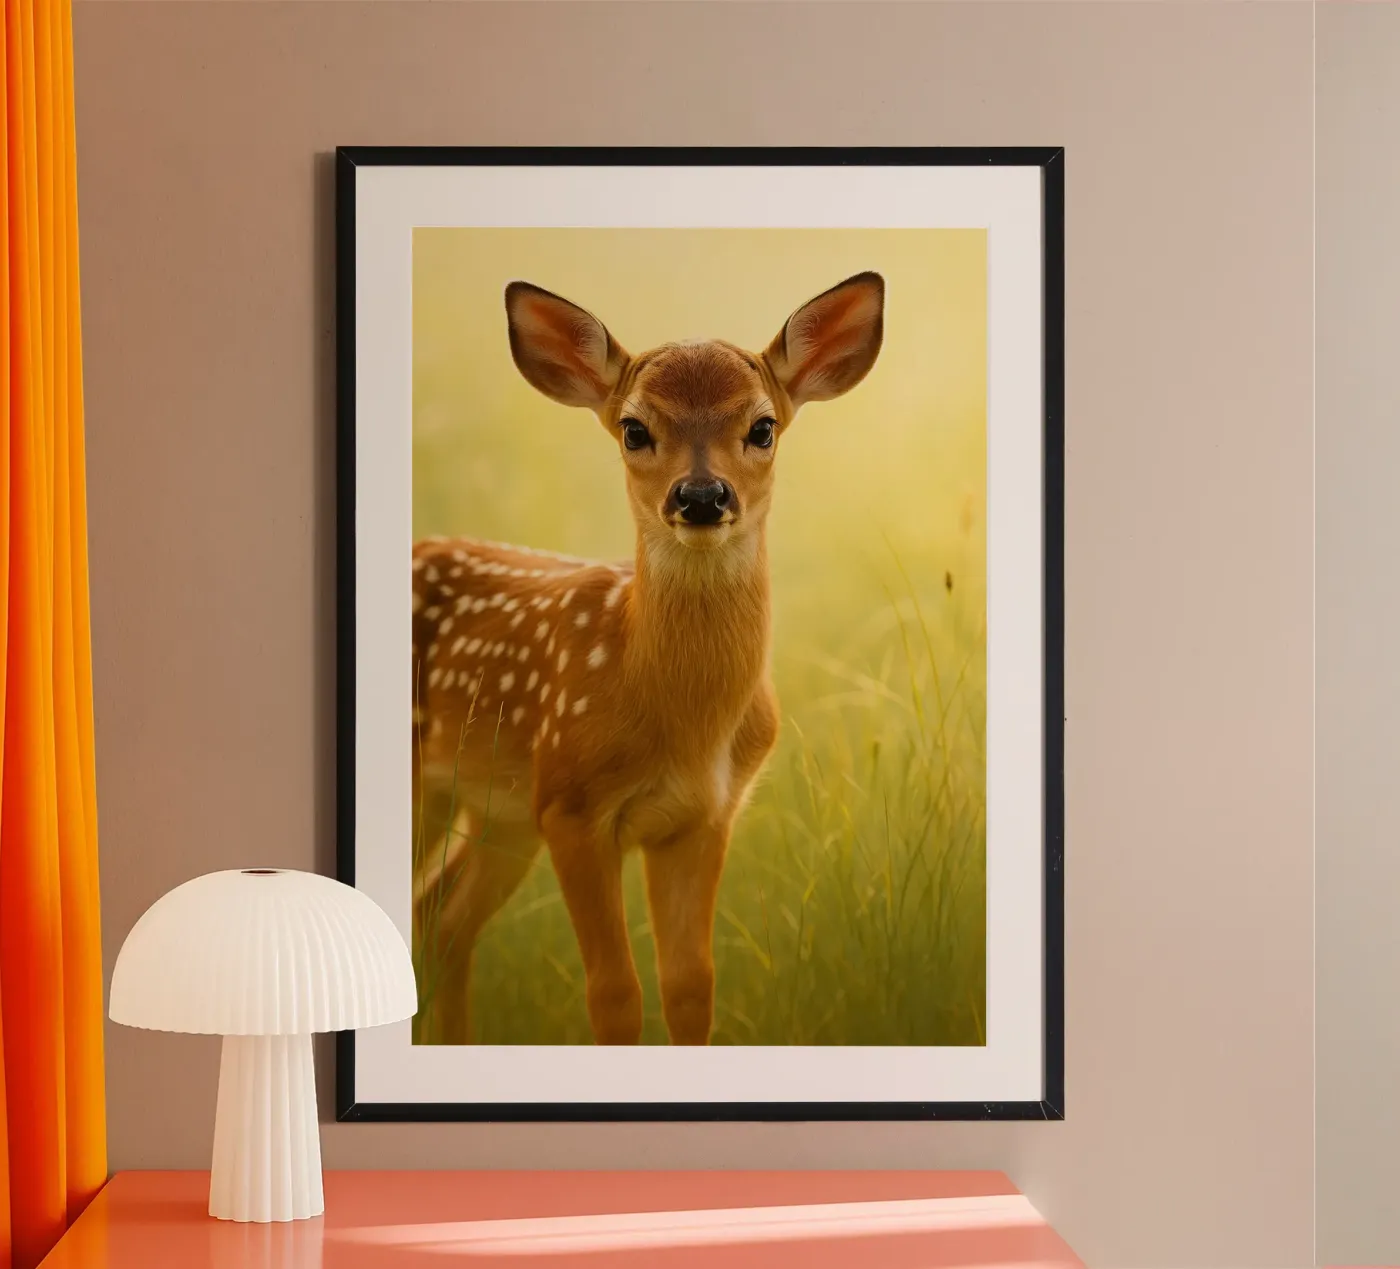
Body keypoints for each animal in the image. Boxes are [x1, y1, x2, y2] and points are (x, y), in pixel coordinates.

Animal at [411, 270, 885, 1046]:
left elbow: (690, 986)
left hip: (499, 811)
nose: (701, 495)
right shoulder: (571, 806)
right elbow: (614, 993)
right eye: (635, 429)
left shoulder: (703, 817)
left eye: (762, 427)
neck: (681, 722)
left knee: (441, 916)